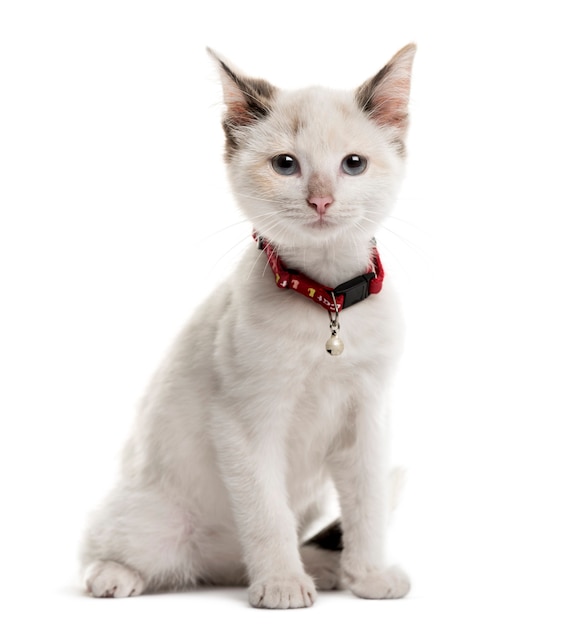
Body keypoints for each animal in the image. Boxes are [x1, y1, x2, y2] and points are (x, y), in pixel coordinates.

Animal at [82, 42, 416, 604]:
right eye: (286, 165)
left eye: (353, 165)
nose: (321, 200)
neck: (326, 300)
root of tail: (215, 567)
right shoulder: (244, 420)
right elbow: (265, 510)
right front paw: (281, 584)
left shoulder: (368, 414)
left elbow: (367, 502)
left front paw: (368, 575)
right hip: (149, 517)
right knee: (111, 546)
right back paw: (115, 574)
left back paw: (321, 568)